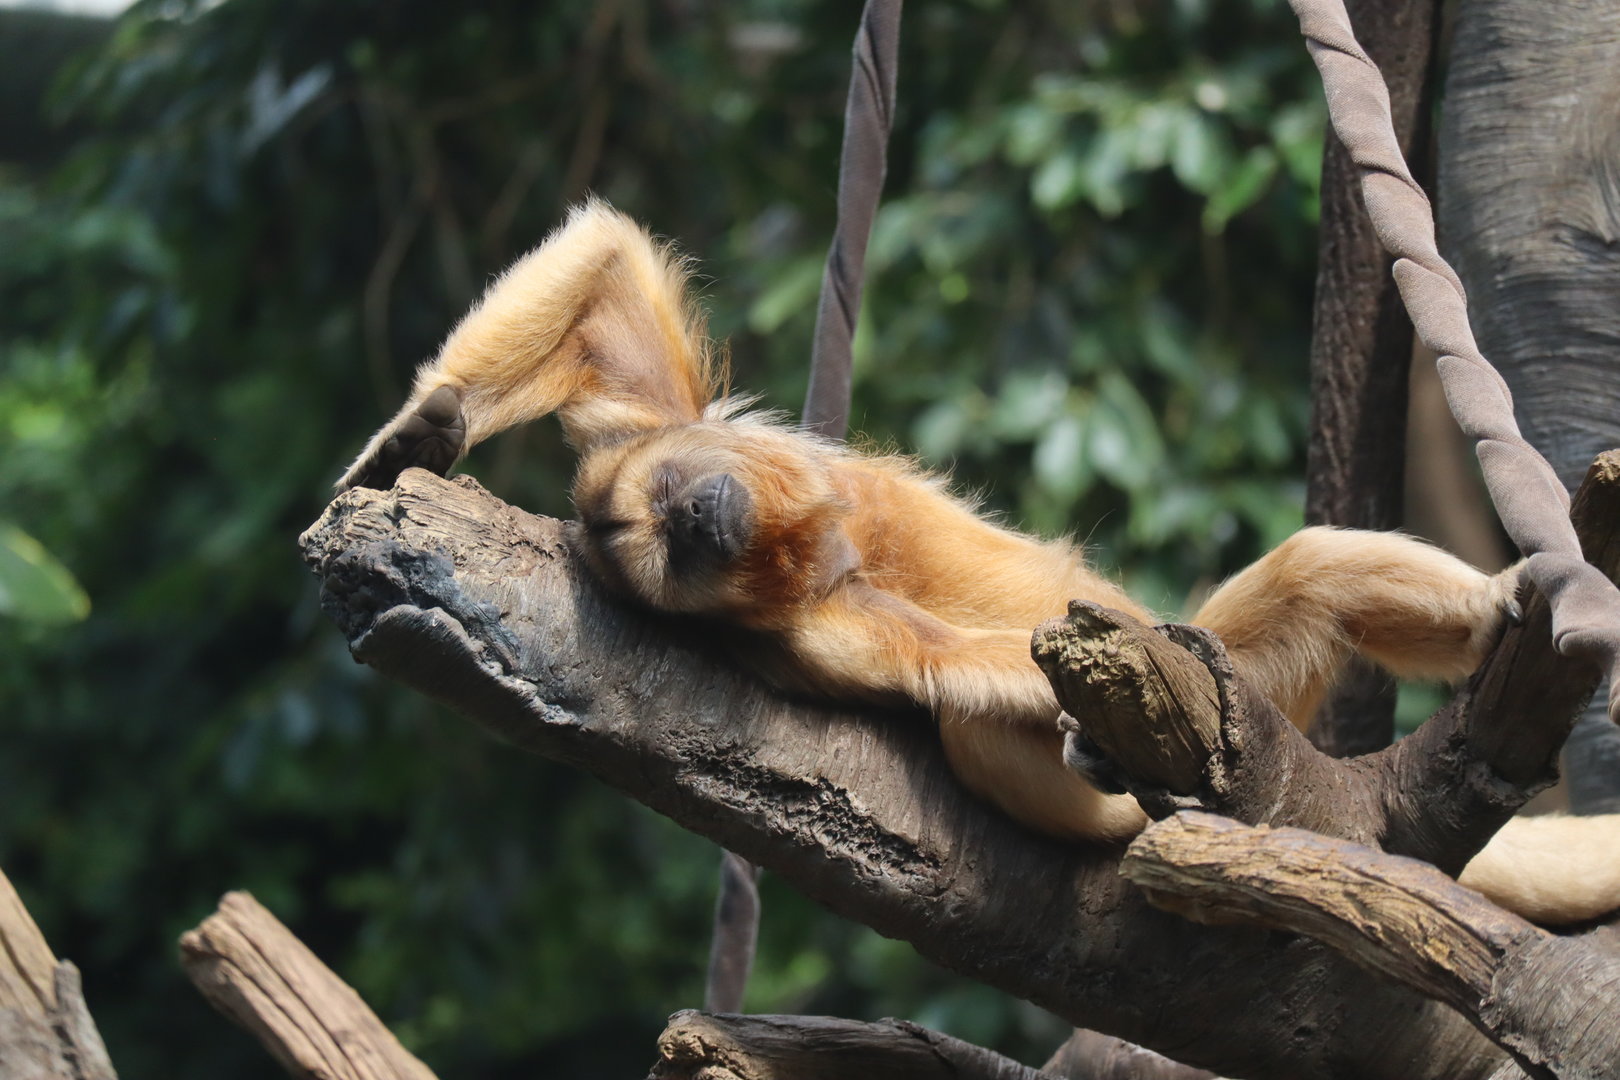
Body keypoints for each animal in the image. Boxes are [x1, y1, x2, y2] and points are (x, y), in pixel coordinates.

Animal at [338, 199, 1620, 925]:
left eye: (658, 517)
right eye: (666, 556)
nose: (693, 525)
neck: (815, 539)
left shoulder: (662, 435)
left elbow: (606, 260)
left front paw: (420, 429)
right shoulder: (819, 627)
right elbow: (947, 673)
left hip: (1263, 694)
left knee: (1295, 580)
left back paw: (1512, 606)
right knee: (987, 715)